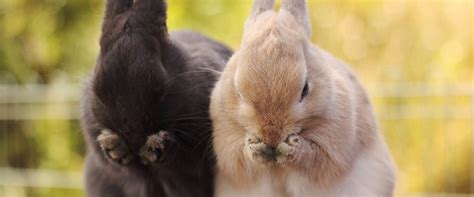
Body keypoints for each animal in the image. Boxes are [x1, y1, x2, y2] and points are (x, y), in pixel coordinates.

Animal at [81, 0, 233, 196]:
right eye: (98, 90)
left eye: (161, 88)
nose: (134, 137)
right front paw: (114, 147)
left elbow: (184, 162)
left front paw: (156, 146)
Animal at [209, 0, 398, 195]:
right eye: (238, 91)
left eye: (305, 89)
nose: (271, 136)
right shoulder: (228, 148)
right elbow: (241, 161)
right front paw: (254, 146)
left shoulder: (333, 149)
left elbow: (315, 159)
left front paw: (290, 147)